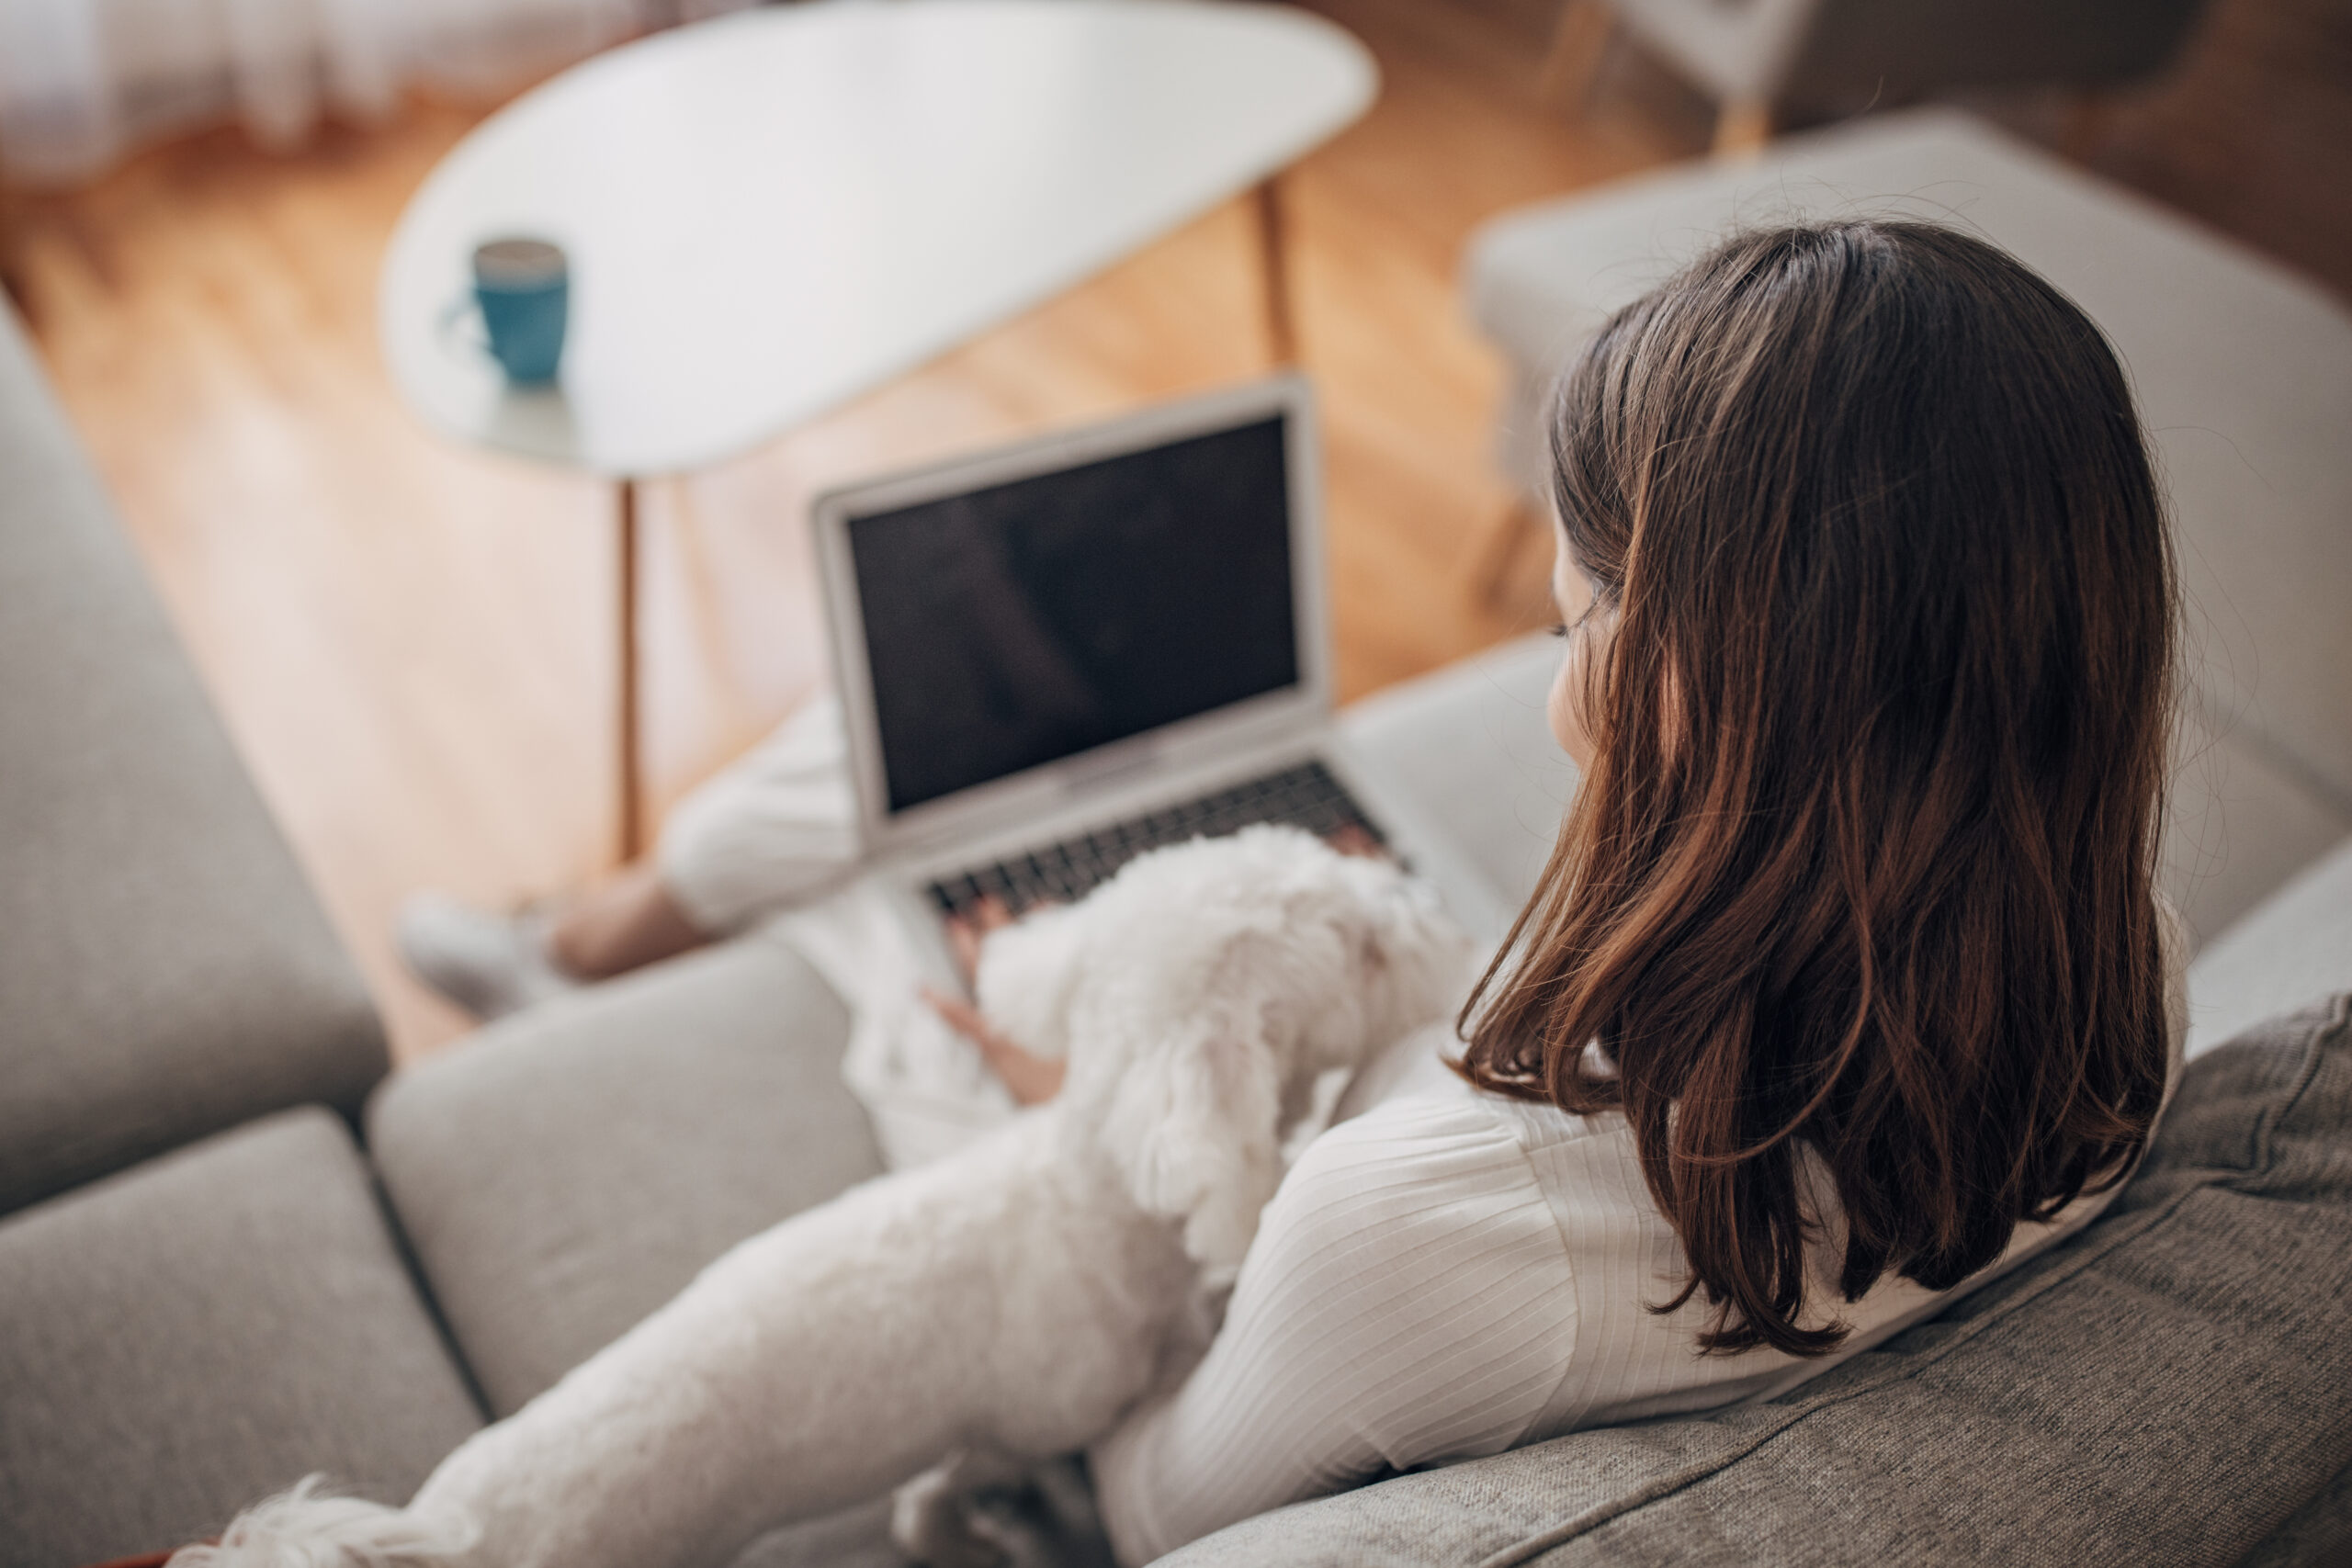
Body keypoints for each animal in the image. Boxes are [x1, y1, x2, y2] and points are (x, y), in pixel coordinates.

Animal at [183, 827, 1467, 1568]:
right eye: (1355, 945)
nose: (1423, 901)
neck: (1084, 1192)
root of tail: (435, 1535)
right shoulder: (1033, 1416)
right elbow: (960, 1479)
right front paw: (961, 1532)